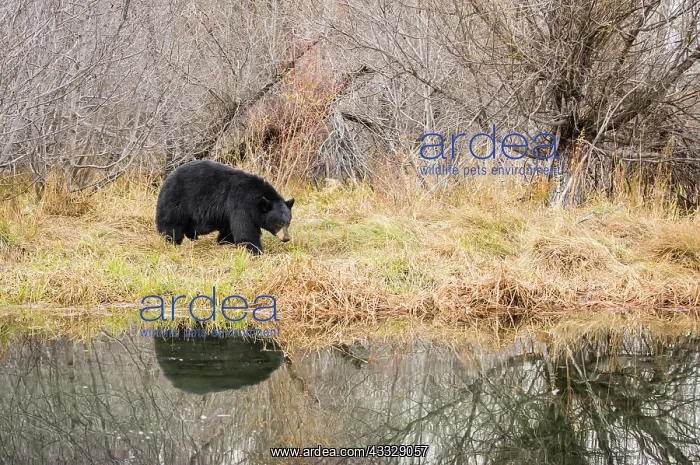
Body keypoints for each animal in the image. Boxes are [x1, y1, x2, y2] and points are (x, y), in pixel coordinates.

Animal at [155, 160, 294, 254]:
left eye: (288, 222)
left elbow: (229, 228)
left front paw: (224, 241)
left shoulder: (229, 211)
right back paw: (173, 241)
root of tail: (168, 177)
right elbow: (245, 231)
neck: (256, 198)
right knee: (172, 223)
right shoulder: (241, 204)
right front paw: (256, 251)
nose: (286, 238)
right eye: (279, 223)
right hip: (177, 199)